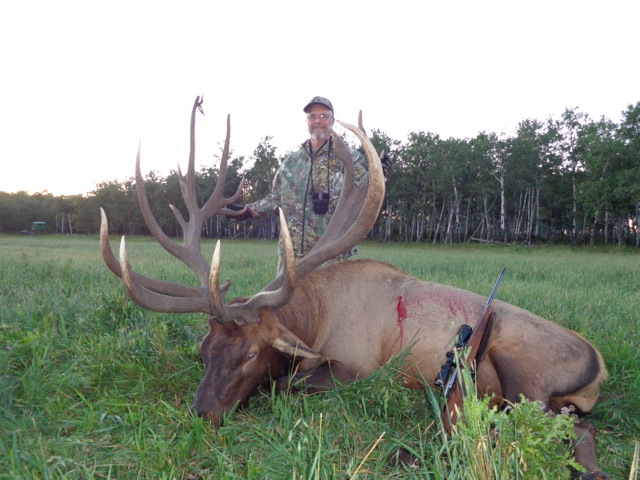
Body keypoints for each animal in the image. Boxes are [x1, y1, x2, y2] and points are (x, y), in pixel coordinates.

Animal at [100, 97, 609, 479]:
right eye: (203, 351)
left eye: (249, 353)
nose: (201, 414)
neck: (315, 317)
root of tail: (599, 366)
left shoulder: (359, 367)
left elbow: (285, 383)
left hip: (526, 377)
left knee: (575, 430)